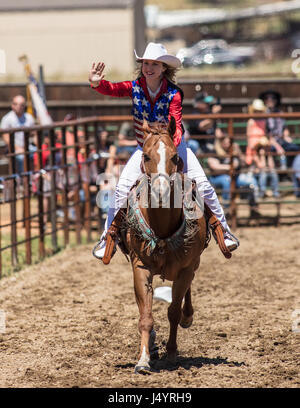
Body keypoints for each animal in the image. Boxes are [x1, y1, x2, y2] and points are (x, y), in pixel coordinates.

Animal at [120, 117, 207, 372]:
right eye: (146, 156)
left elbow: (173, 312)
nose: (161, 191)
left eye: (175, 157)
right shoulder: (140, 268)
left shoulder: (186, 268)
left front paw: (171, 352)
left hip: (192, 265)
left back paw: (188, 317)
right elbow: (146, 316)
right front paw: (143, 359)